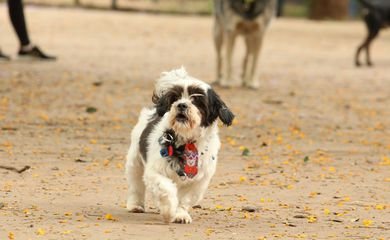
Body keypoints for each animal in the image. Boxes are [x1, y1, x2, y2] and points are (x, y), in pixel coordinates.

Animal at [126, 67, 233, 223]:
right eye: (175, 98)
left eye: (197, 100)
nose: (182, 104)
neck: (186, 141)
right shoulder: (155, 171)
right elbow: (166, 188)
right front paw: (168, 210)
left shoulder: (199, 180)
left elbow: (185, 199)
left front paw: (180, 214)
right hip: (135, 162)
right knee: (136, 185)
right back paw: (135, 205)